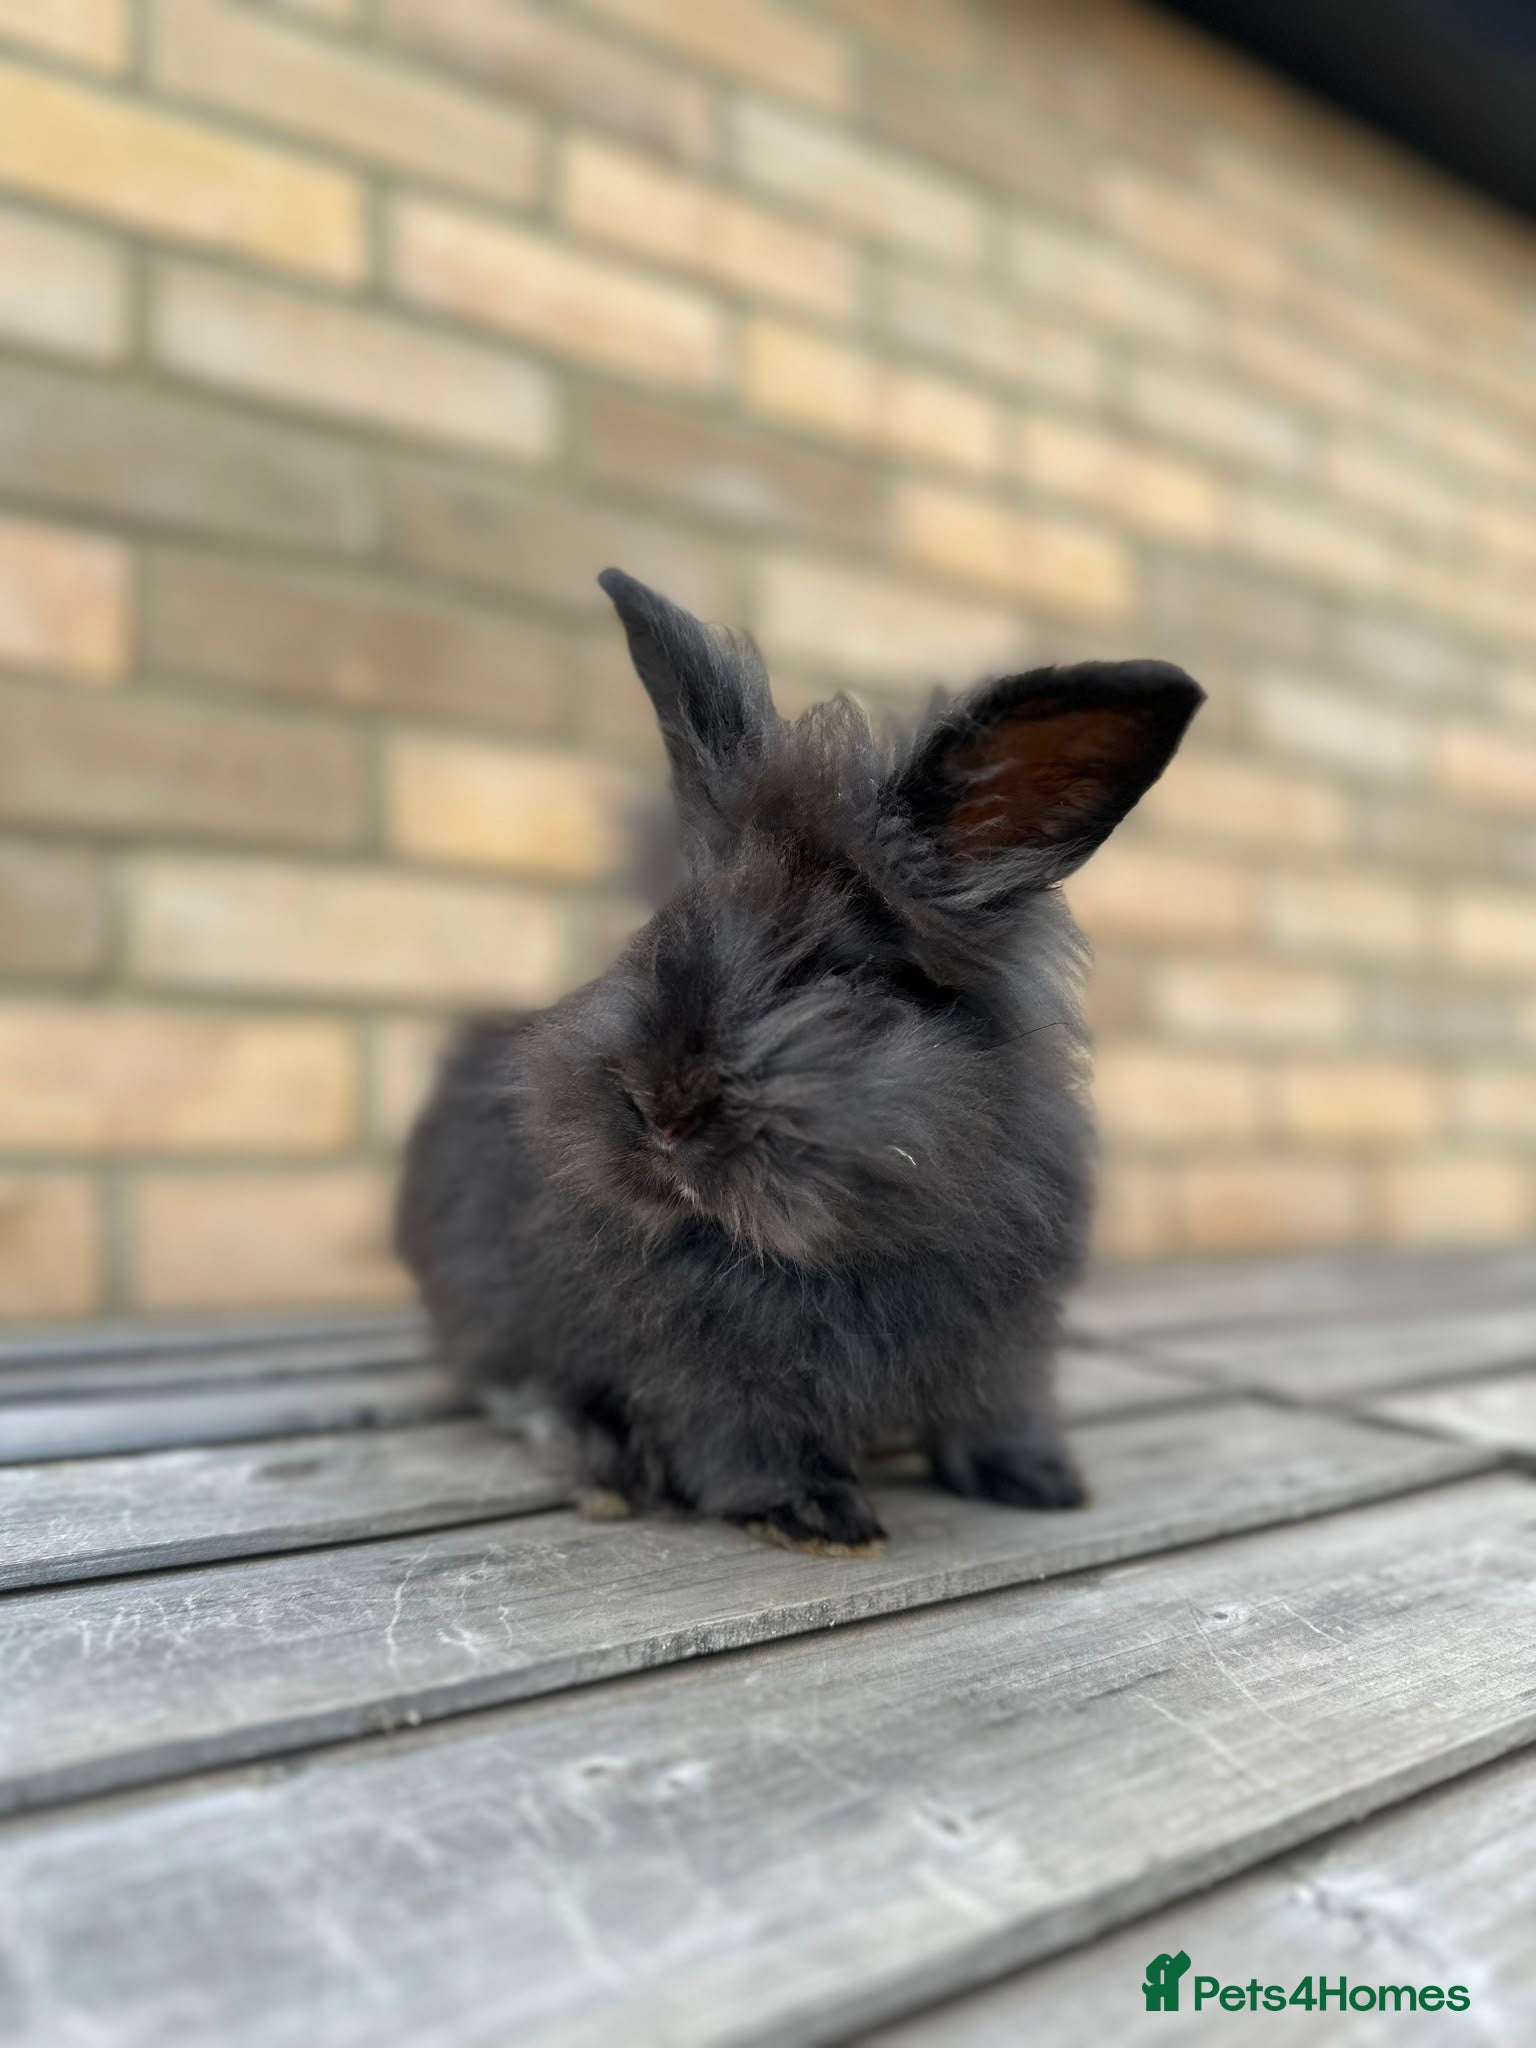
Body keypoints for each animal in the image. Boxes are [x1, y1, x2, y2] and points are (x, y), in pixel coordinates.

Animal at [397, 568, 1203, 1557]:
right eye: (669, 923)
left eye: (843, 971)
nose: (664, 1110)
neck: (845, 1244)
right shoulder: (700, 1366)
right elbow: (742, 1434)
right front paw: (816, 1520)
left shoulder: (1006, 1341)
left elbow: (993, 1410)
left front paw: (1040, 1481)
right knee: (511, 1385)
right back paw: (610, 1470)